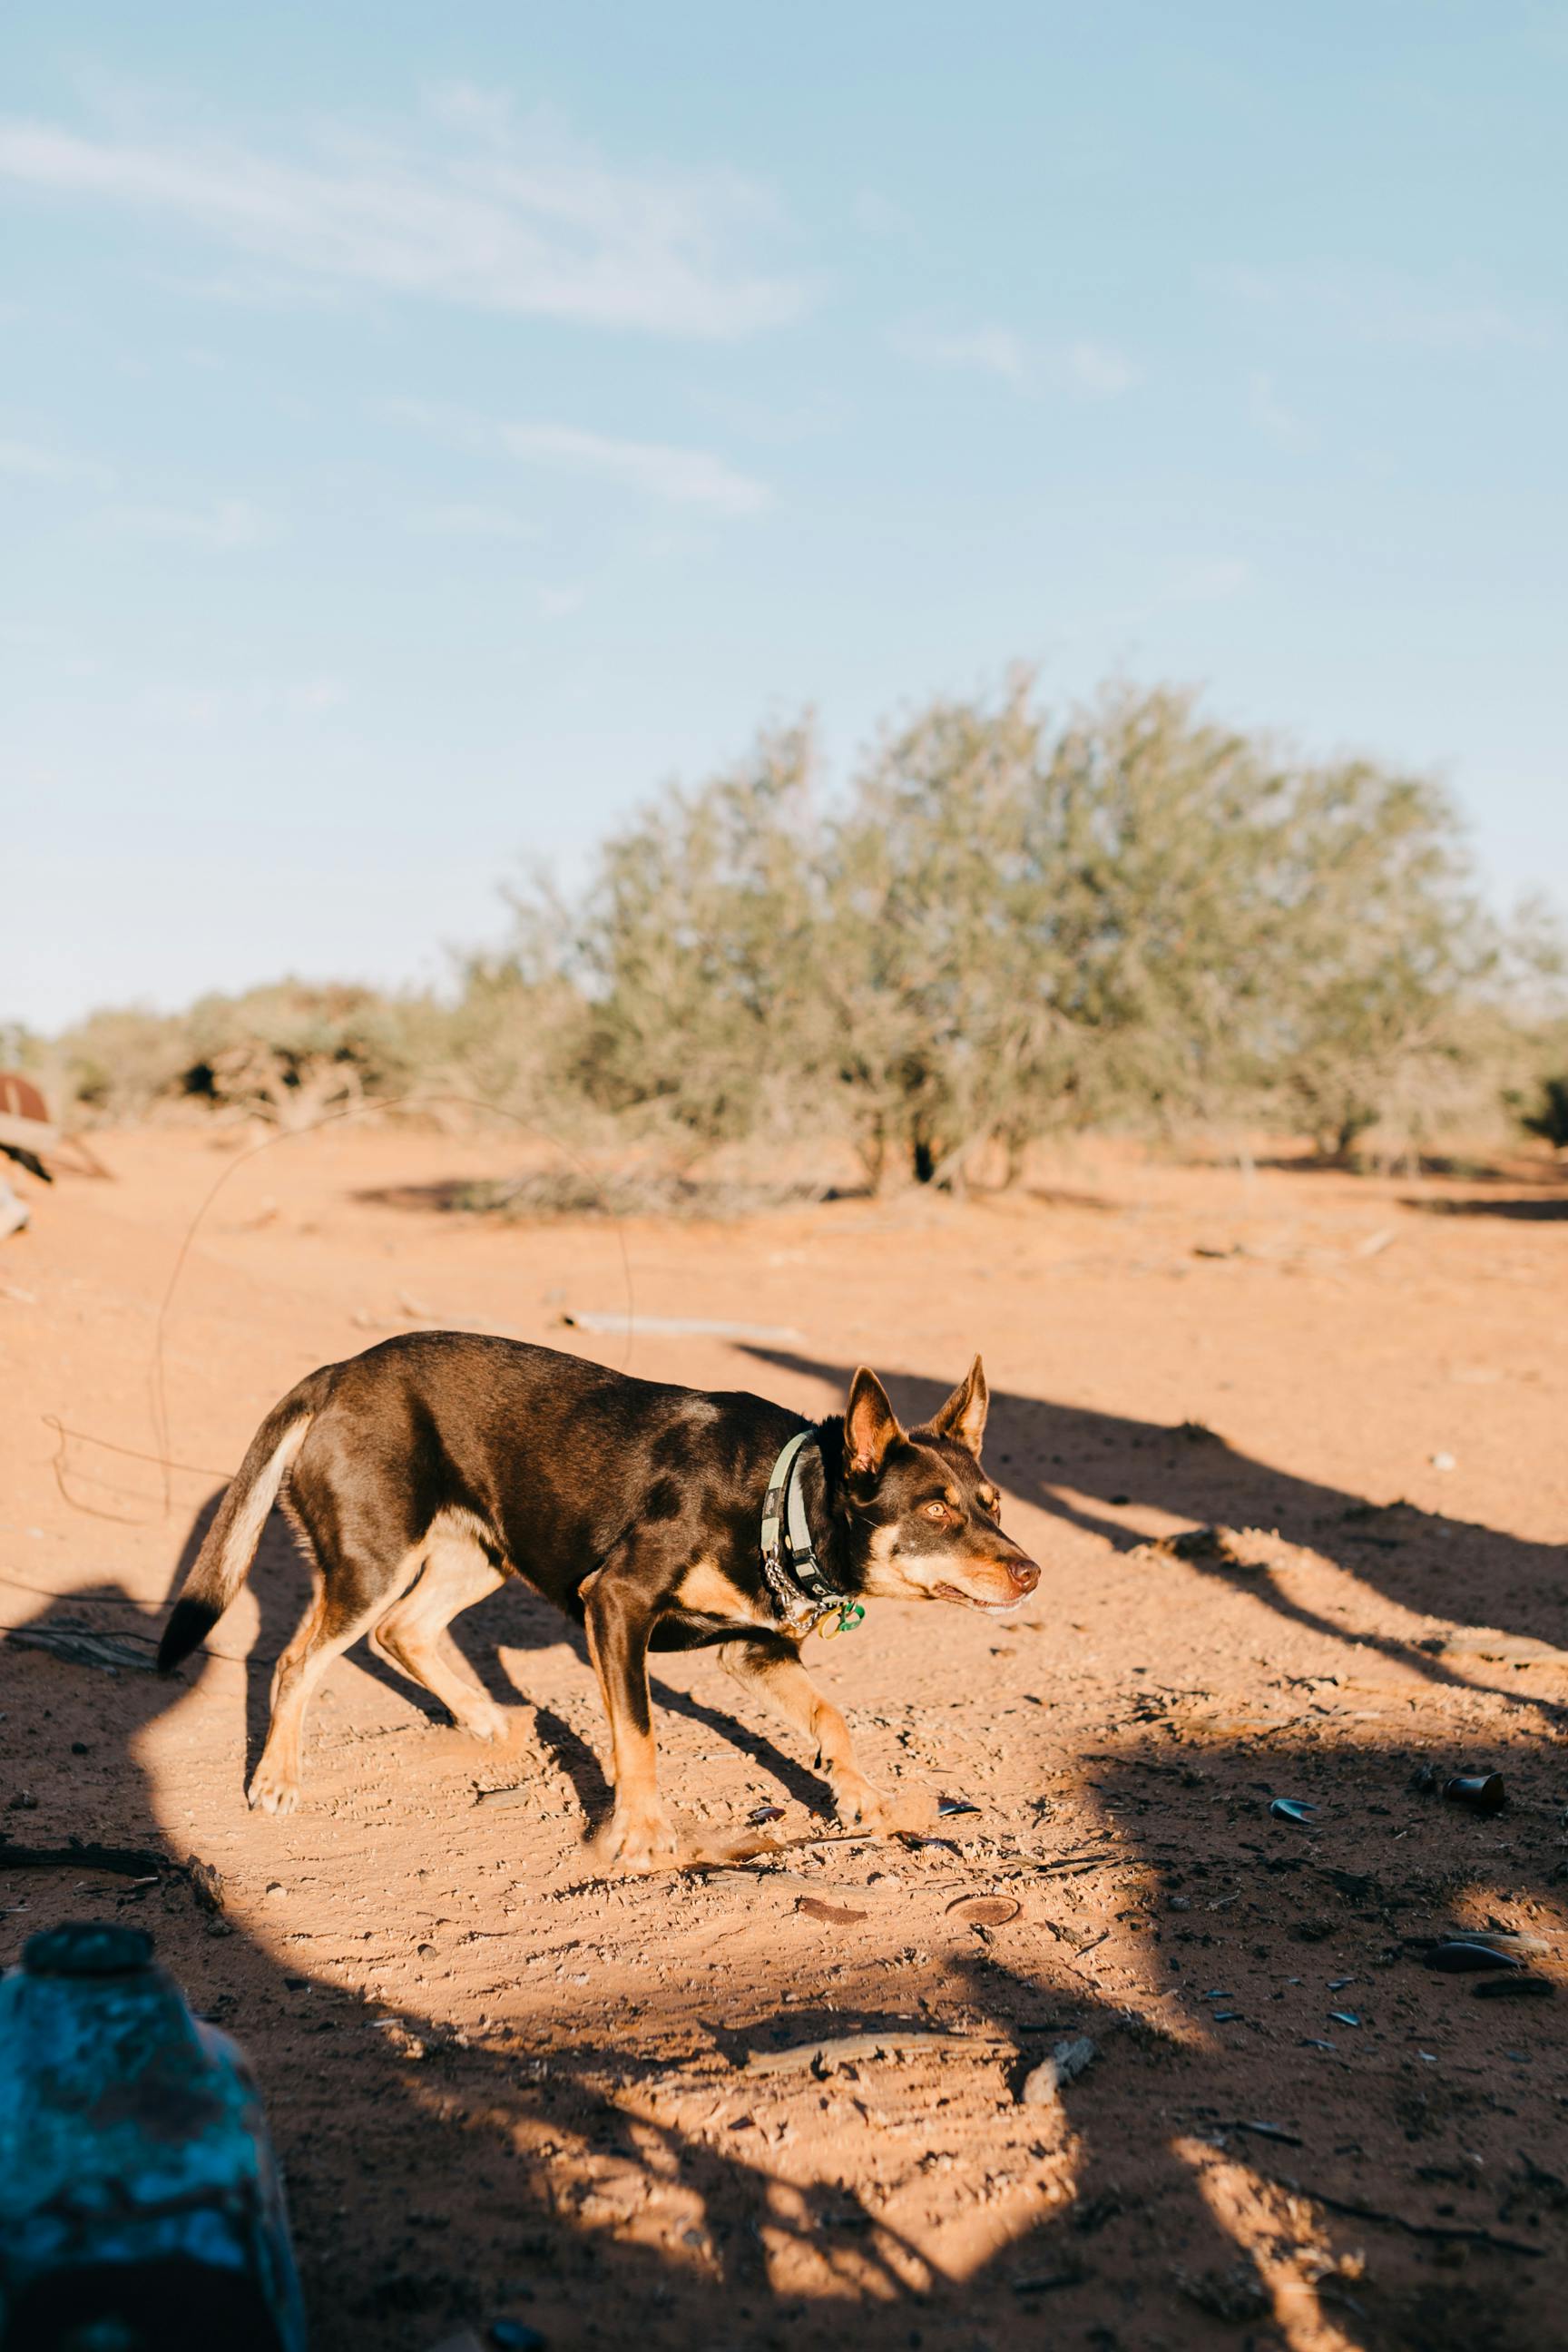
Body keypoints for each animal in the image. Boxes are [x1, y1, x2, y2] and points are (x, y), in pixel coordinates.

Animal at [160, 1336, 1044, 1862]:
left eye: (993, 1503)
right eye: (937, 1511)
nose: (1032, 1573)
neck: (779, 1492)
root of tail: (338, 1371)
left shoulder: (751, 1647)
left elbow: (831, 1716)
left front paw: (857, 1793)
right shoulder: (616, 1604)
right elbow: (640, 1736)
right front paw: (645, 1834)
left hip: (484, 1550)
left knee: (403, 1632)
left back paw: (484, 1719)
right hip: (374, 1559)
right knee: (298, 1660)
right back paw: (277, 1778)